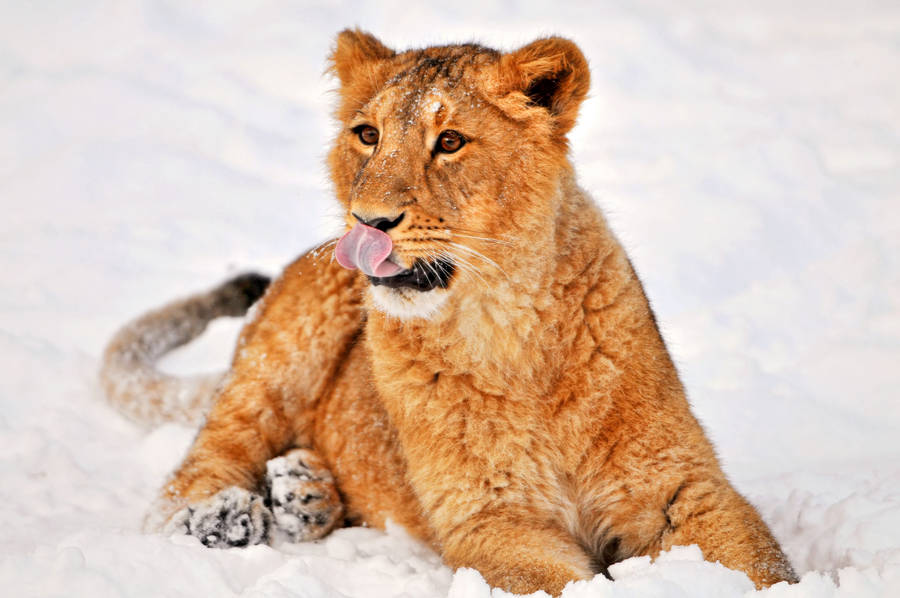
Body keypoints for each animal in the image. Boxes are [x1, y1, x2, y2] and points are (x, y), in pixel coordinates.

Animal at [101, 30, 798, 595]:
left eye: (451, 141)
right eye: (368, 135)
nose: (369, 222)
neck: (510, 328)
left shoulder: (682, 487)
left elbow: (760, 565)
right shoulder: (491, 520)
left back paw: (304, 494)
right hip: (276, 360)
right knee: (191, 472)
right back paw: (225, 516)